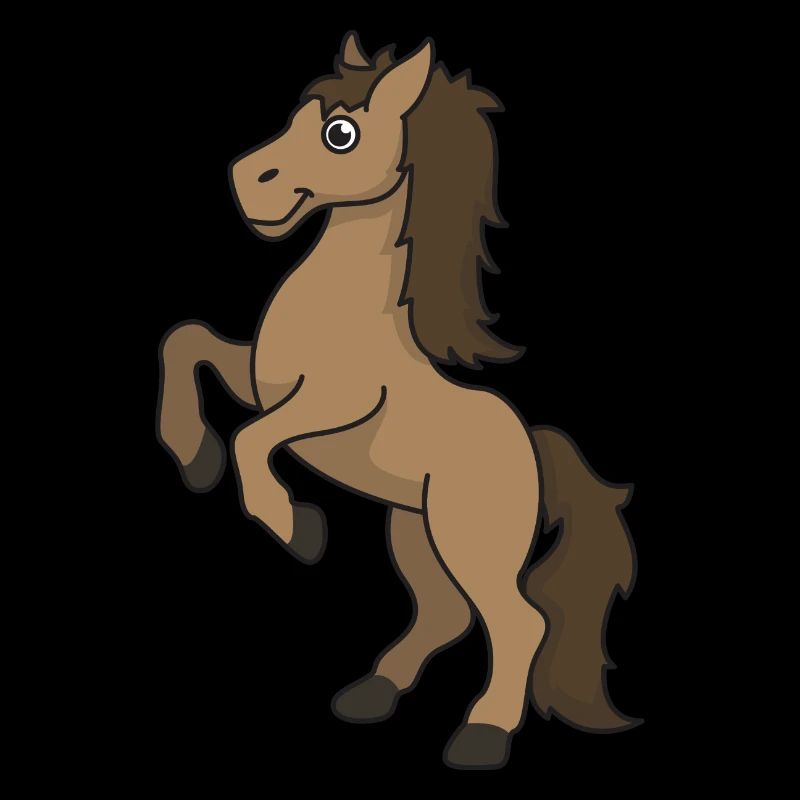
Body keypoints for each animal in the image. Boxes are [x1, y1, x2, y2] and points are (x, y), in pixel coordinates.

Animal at [157, 32, 640, 769]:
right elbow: (187, 345)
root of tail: (534, 449)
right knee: (446, 613)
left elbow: (253, 436)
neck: (341, 314)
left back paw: (482, 735)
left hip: (470, 539)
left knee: (518, 621)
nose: (245, 180)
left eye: (340, 132)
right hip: (416, 530)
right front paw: (194, 458)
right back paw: (370, 694)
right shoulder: (257, 378)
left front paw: (298, 530)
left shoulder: (331, 405)